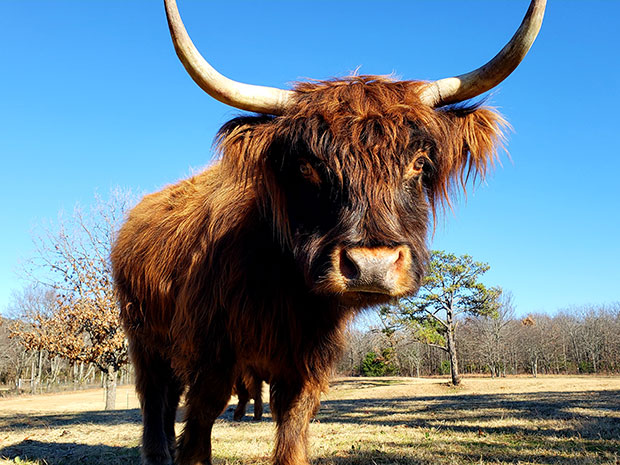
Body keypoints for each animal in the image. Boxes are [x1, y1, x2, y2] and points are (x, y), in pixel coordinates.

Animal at [110, 0, 544, 464]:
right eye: (307, 167)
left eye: (419, 163)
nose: (372, 267)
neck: (287, 292)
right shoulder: (213, 353)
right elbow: (199, 427)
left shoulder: (307, 363)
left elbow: (291, 431)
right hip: (144, 339)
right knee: (157, 399)